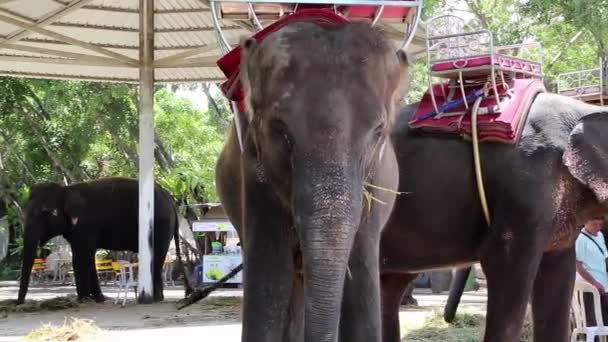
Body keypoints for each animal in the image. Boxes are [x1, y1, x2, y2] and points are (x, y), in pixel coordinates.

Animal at [16, 178, 188, 304]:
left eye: (44, 213)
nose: (19, 303)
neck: (66, 190)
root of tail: (171, 199)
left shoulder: (85, 225)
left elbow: (80, 257)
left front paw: (84, 299)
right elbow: (87, 257)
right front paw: (98, 299)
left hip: (160, 224)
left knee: (157, 256)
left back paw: (157, 298)